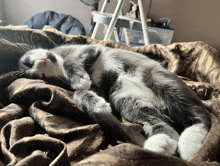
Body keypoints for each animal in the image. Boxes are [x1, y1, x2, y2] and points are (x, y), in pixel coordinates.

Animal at [18, 44, 210, 160]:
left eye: (28, 62)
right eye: (43, 77)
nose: (39, 63)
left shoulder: (87, 48)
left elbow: (72, 61)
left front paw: (79, 78)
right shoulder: (99, 89)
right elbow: (79, 94)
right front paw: (97, 104)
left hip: (160, 79)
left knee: (203, 118)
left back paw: (189, 147)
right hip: (128, 102)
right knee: (164, 126)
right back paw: (160, 144)